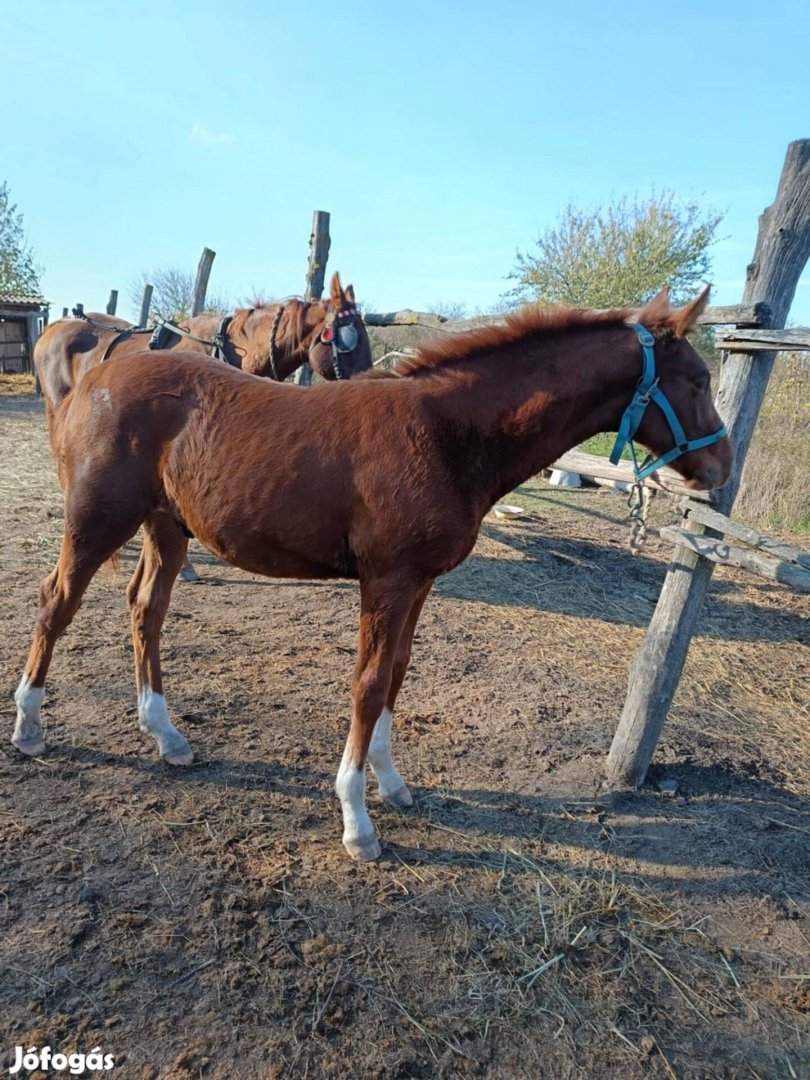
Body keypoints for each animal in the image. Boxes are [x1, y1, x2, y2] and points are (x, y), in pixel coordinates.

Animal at [9, 287, 734, 859]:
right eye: (698, 380)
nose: (722, 470)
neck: (446, 434)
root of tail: (93, 380)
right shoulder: (386, 579)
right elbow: (368, 684)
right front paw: (357, 820)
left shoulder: (419, 581)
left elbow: (398, 675)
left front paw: (392, 784)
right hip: (97, 521)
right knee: (56, 603)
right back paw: (29, 728)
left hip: (167, 527)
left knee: (146, 610)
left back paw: (164, 734)